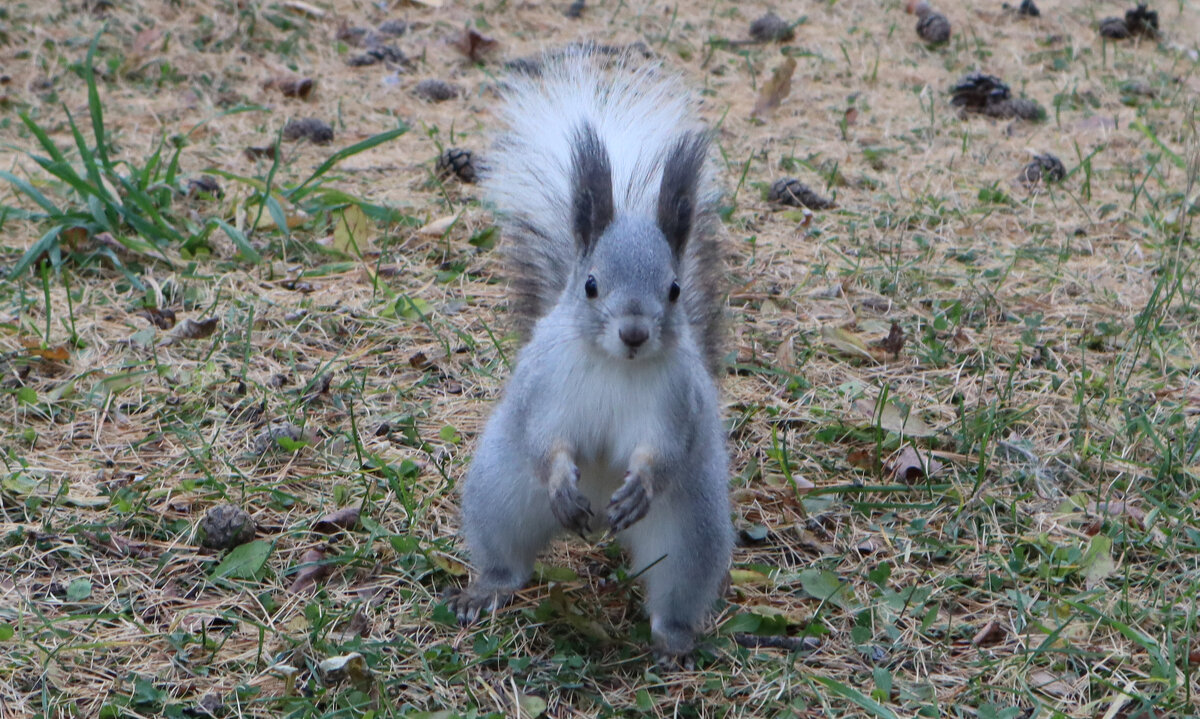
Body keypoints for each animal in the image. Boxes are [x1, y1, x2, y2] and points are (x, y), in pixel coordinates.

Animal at [448, 46, 729, 662]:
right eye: (591, 285)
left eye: (674, 290)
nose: (634, 333)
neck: (615, 367)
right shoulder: (543, 387)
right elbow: (544, 438)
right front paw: (559, 479)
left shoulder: (678, 404)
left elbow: (663, 451)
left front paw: (642, 483)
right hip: (501, 494)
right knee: (508, 557)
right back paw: (487, 590)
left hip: (690, 534)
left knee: (676, 587)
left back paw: (673, 639)